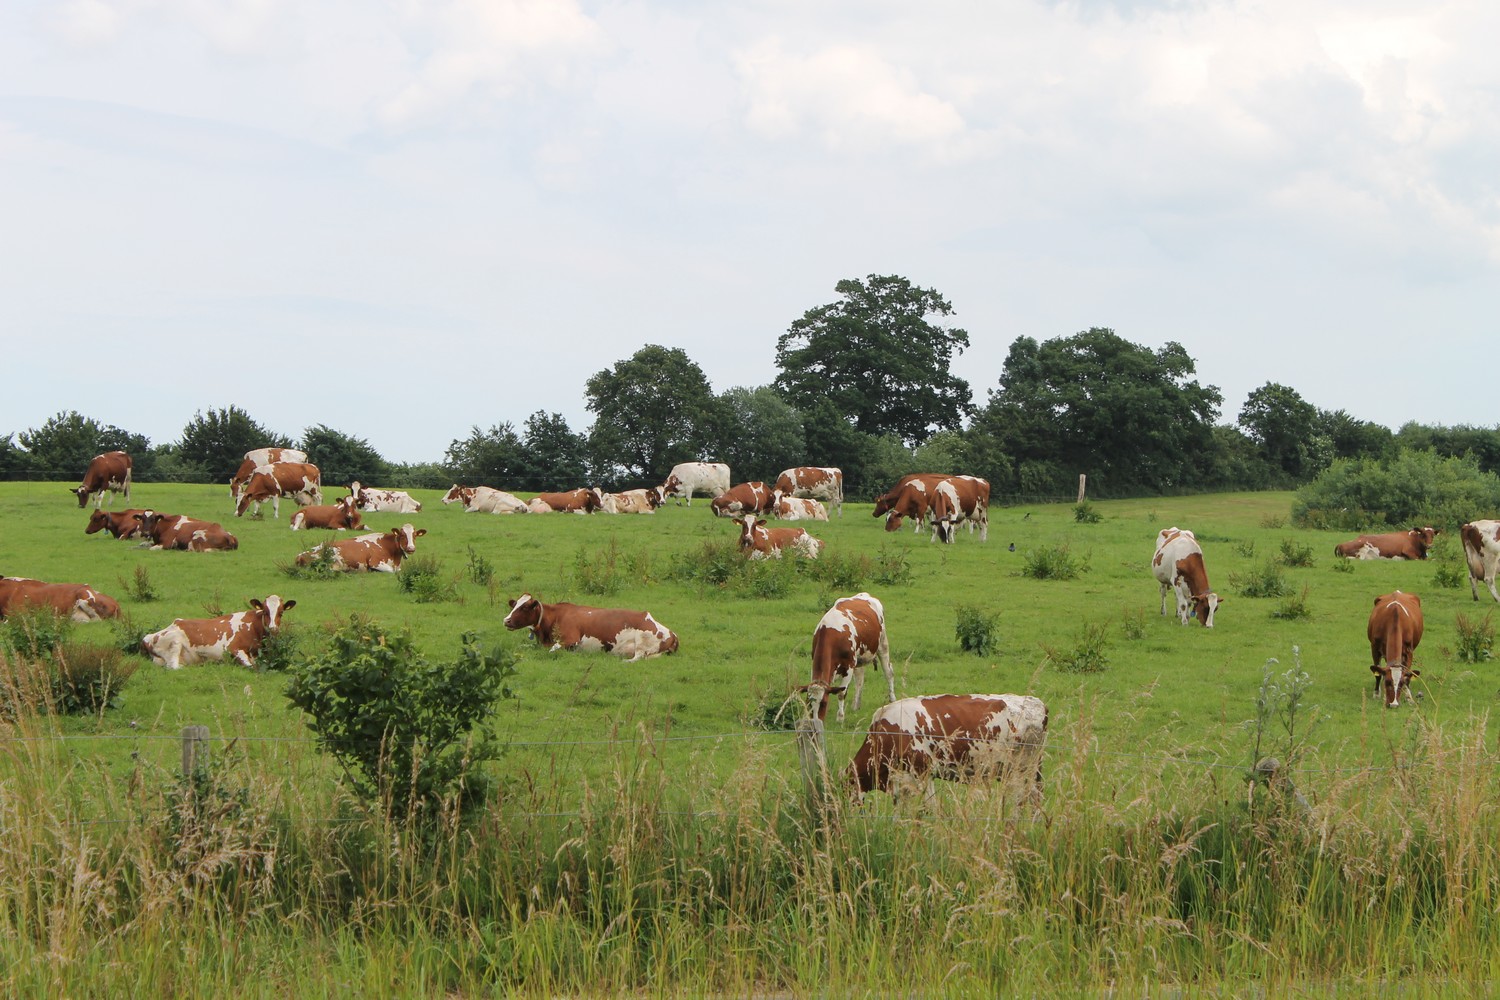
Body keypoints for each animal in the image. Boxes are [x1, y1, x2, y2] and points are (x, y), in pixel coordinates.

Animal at [139, 593, 294, 671]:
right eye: (265, 611)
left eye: (281, 613)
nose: (273, 629)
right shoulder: (233, 648)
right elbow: (252, 666)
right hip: (175, 642)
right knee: (174, 667)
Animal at [504, 593, 681, 665]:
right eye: (515, 605)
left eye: (524, 607)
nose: (506, 620)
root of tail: (672, 633)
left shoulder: (570, 639)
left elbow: (551, 651)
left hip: (642, 642)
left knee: (637, 657)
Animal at [810, 590, 888, 722]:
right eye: (808, 703)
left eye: (824, 703)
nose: (815, 722)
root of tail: (864, 594)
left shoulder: (849, 667)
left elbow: (841, 693)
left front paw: (840, 717)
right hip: (859, 658)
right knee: (860, 679)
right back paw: (856, 706)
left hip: (882, 645)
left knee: (889, 673)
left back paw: (892, 699)